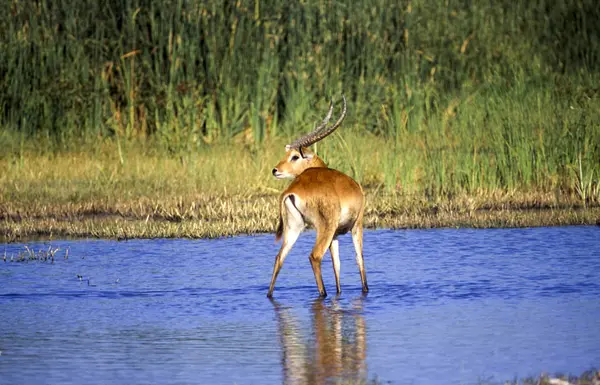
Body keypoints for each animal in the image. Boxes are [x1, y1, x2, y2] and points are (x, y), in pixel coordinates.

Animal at [268, 95, 370, 296]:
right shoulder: (357, 224)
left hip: (295, 228)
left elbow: (337, 265)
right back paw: (323, 294)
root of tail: (292, 190)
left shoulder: (336, 235)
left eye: (294, 156)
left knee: (279, 257)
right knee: (314, 256)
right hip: (325, 227)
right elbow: (359, 259)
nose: (275, 170)